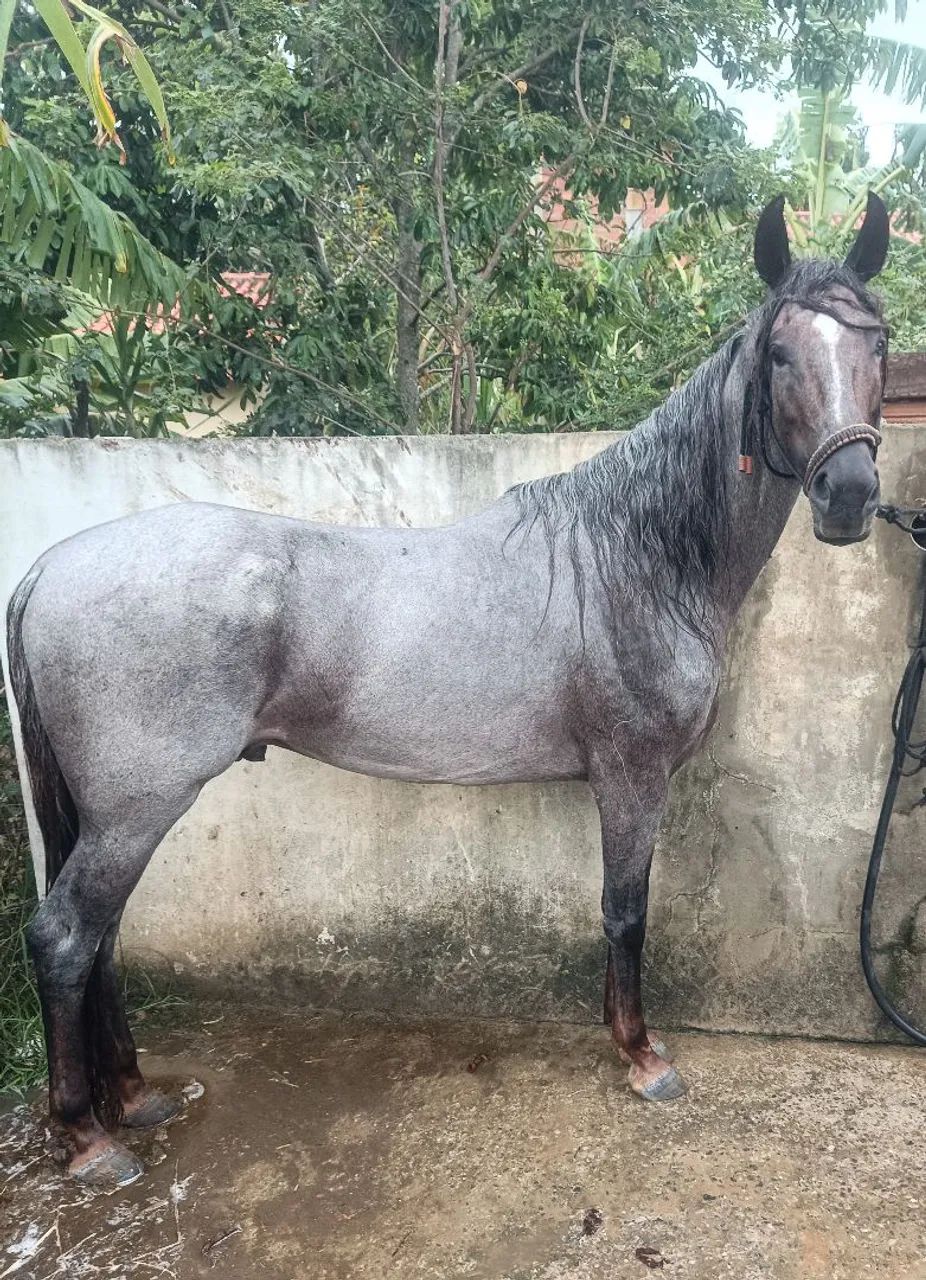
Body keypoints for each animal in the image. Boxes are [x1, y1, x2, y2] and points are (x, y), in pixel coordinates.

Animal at [6, 193, 891, 1186]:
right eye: (780, 352)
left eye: (880, 342)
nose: (849, 495)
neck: (638, 557)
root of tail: (51, 566)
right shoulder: (632, 776)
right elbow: (626, 913)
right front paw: (642, 1057)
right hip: (138, 807)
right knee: (65, 939)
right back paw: (88, 1139)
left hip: (115, 814)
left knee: (103, 939)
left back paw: (133, 1097)